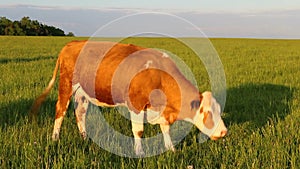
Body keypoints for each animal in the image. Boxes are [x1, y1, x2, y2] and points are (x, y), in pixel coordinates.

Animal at [30, 40, 227, 155]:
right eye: (207, 113)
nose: (224, 132)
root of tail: (72, 43)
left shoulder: (162, 111)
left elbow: (165, 129)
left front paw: (171, 149)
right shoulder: (136, 104)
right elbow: (138, 131)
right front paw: (139, 153)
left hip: (82, 92)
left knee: (80, 112)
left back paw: (85, 138)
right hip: (66, 84)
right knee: (60, 110)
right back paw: (55, 138)